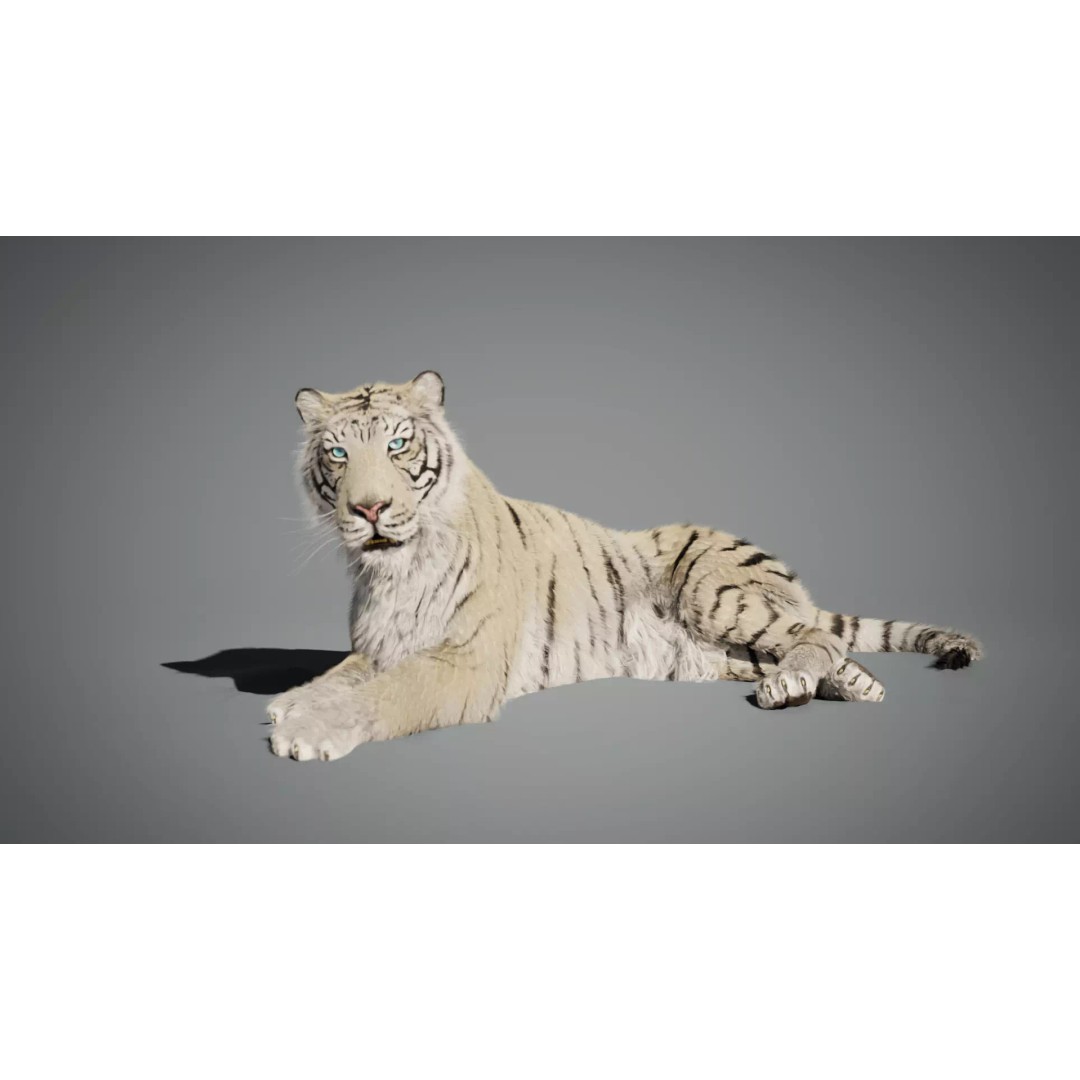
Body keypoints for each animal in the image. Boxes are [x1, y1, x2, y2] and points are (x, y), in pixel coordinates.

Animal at [267, 370, 983, 761]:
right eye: (337, 452)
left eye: (397, 443)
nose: (370, 508)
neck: (392, 569)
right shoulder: (378, 647)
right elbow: (337, 677)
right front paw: (288, 706)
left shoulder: (465, 661)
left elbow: (385, 695)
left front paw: (306, 732)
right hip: (725, 650)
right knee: (843, 655)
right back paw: (852, 687)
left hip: (716, 593)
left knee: (815, 636)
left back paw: (791, 686)